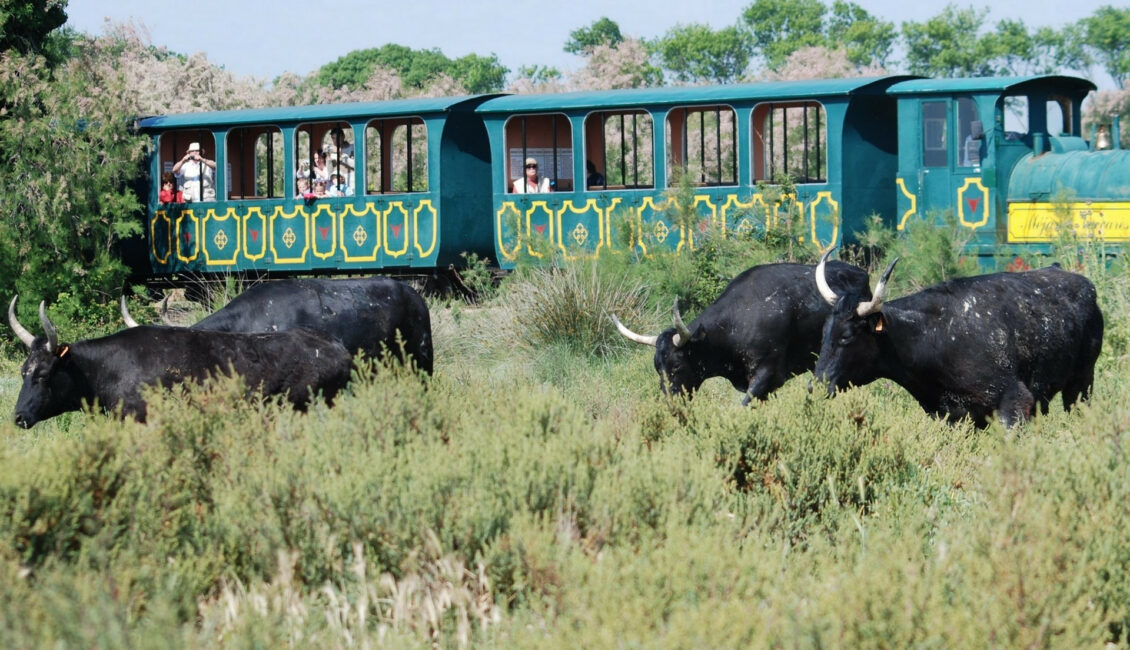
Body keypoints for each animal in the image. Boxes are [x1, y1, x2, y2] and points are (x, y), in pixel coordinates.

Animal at [813, 256, 1102, 429]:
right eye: (824, 332)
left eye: (847, 336)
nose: (814, 386)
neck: (935, 337)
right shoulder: (950, 416)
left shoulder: (1015, 402)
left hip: (1081, 383)